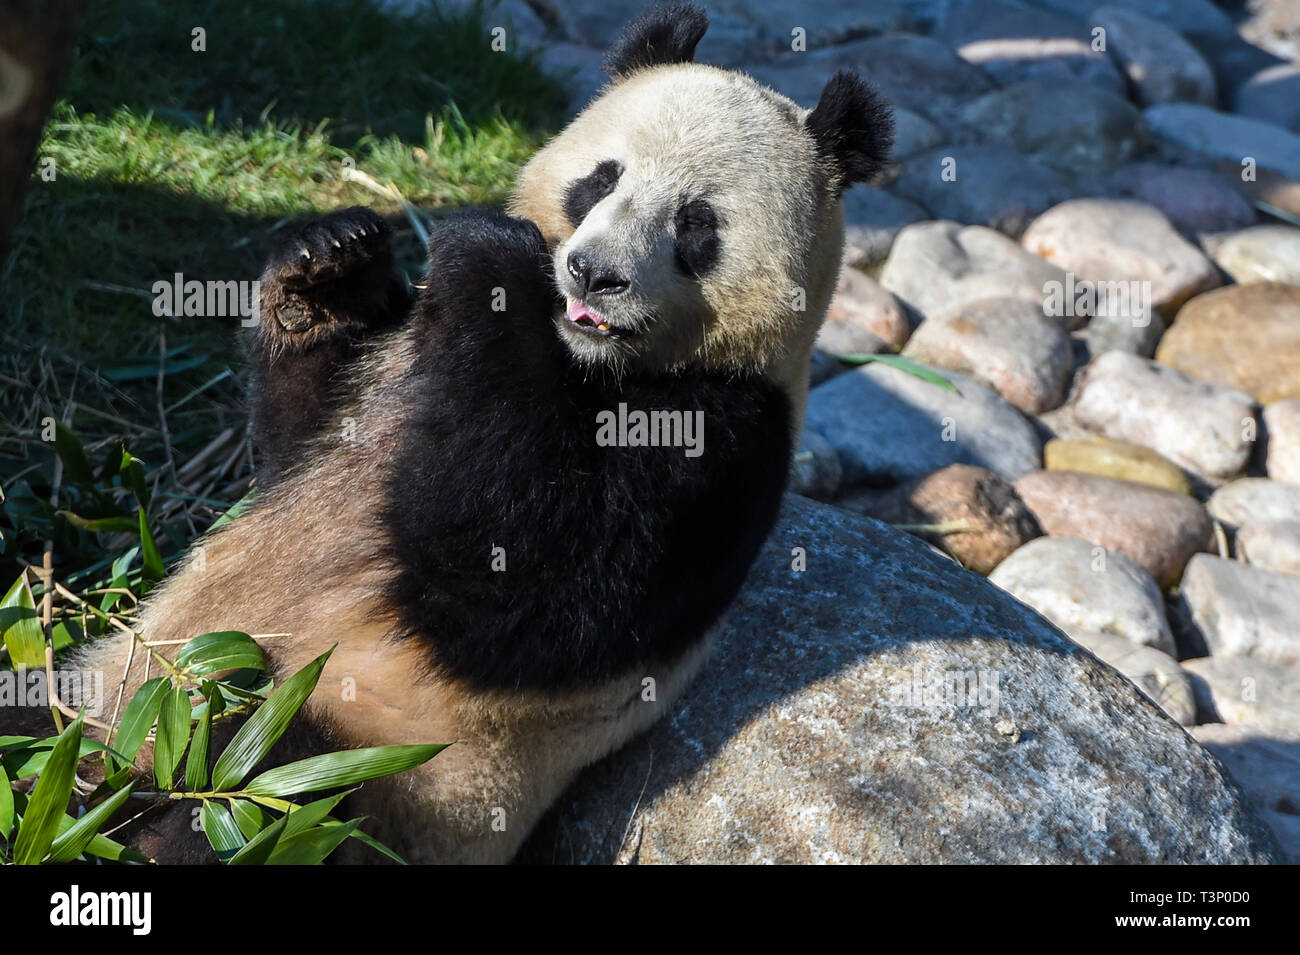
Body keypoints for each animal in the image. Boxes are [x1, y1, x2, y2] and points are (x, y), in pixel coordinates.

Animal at [76, 2, 892, 863]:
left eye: (696, 224)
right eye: (603, 178)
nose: (593, 273)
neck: (591, 358)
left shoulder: (727, 441)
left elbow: (525, 588)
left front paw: (488, 257)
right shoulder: (393, 374)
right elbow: (298, 442)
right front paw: (329, 263)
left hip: (356, 768)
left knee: (252, 790)